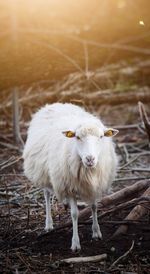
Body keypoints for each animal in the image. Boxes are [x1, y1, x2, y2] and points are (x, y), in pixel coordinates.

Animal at [22, 103, 118, 250]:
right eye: (77, 137)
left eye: (101, 137)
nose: (90, 159)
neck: (88, 171)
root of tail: (55, 104)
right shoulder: (70, 186)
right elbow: (74, 214)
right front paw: (75, 243)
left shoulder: (94, 185)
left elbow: (94, 206)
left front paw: (96, 232)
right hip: (44, 172)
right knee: (46, 194)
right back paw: (49, 224)